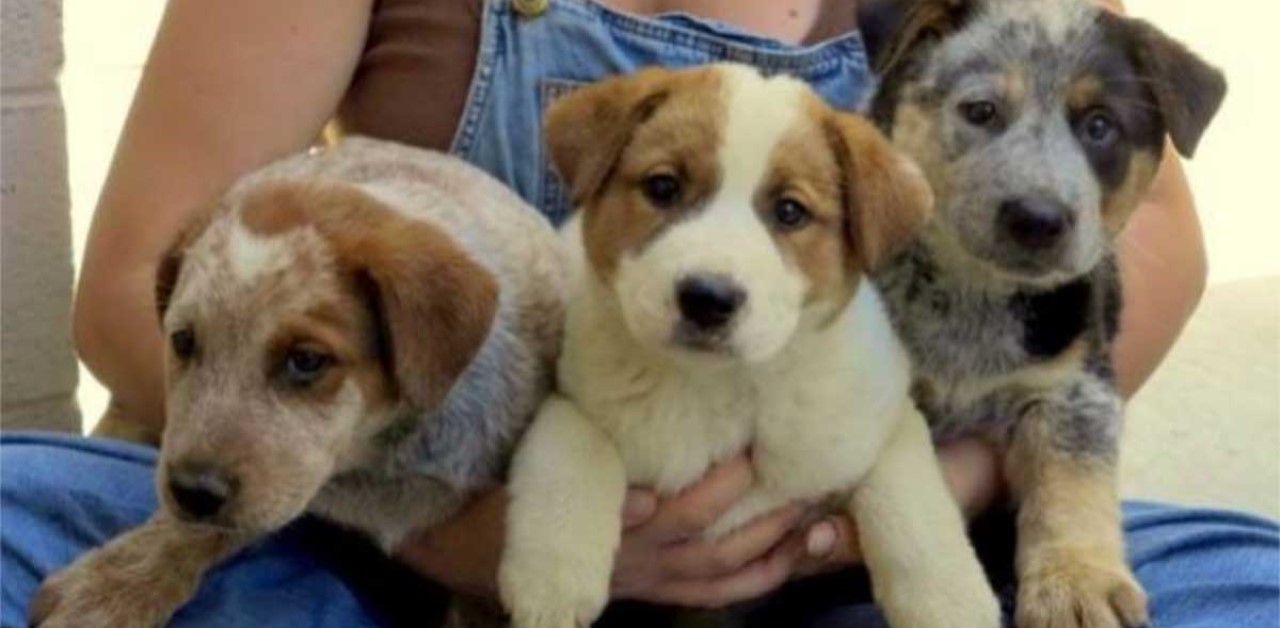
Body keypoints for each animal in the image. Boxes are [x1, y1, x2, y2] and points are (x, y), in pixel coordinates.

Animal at [24, 137, 563, 628]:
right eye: (183, 340)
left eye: (306, 360)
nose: (193, 491)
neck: (376, 461)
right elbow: (206, 523)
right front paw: (115, 584)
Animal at [496, 62, 998, 628]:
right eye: (663, 186)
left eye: (790, 211)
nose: (707, 298)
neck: (711, 386)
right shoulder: (568, 390)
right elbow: (573, 442)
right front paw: (553, 577)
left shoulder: (879, 416)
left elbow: (909, 496)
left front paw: (949, 599)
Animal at [855, 0, 1223, 626]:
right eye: (981, 110)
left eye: (1099, 125)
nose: (1037, 217)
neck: (971, 297)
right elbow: (902, 487)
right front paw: (941, 598)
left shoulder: (1072, 382)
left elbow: (1070, 478)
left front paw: (1077, 583)